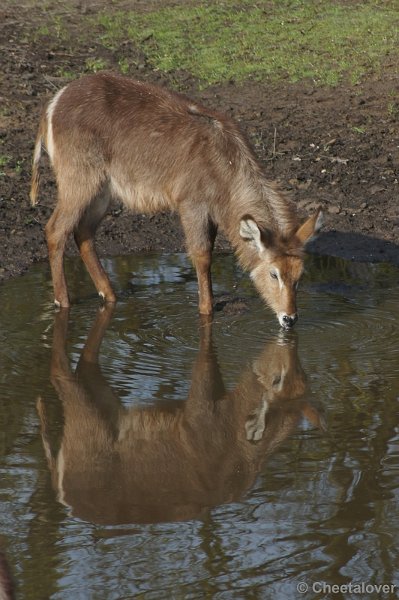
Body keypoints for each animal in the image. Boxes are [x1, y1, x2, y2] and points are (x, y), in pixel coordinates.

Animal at [32, 72, 322, 330]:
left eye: (299, 275)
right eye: (274, 273)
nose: (289, 318)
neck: (225, 161)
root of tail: (55, 102)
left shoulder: (212, 213)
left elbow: (209, 253)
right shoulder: (191, 205)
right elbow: (202, 256)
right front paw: (206, 310)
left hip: (103, 191)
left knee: (83, 232)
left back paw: (110, 295)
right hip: (79, 181)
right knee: (55, 229)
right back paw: (63, 302)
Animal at [36, 308, 324, 524]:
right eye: (278, 379)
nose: (290, 322)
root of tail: (63, 494)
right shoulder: (201, 404)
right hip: (85, 412)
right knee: (59, 371)